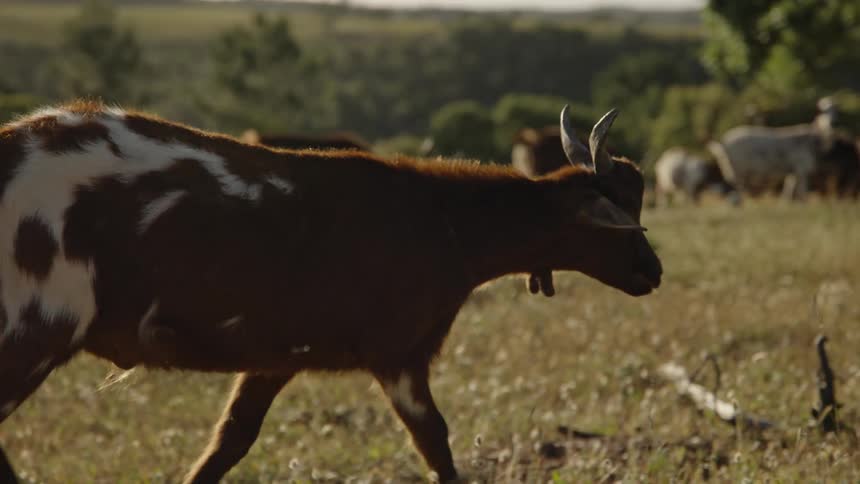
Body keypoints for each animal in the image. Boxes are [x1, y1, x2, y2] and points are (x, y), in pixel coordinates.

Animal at [0, 101, 661, 483]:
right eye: (620, 213)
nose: (652, 272)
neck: (445, 222)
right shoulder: (398, 353)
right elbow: (436, 444)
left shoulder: (275, 356)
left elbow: (227, 444)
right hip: (32, 328)